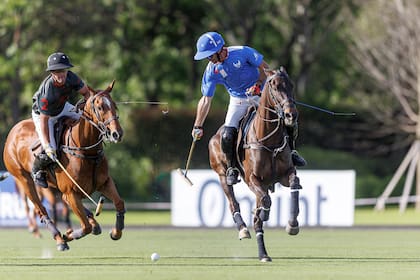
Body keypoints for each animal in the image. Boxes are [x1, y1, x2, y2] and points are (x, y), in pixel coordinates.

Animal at [3, 80, 124, 250]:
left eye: (114, 105)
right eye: (100, 107)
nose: (117, 134)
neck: (87, 151)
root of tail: (13, 131)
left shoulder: (104, 183)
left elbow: (119, 203)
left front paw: (115, 232)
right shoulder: (70, 191)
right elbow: (84, 226)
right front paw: (68, 235)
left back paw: (92, 223)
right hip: (24, 180)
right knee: (40, 208)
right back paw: (58, 238)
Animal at [208, 68, 300, 262]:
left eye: (291, 85)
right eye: (275, 87)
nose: (291, 115)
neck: (269, 140)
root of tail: (215, 135)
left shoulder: (286, 174)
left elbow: (294, 184)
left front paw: (292, 225)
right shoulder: (252, 179)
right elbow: (264, 202)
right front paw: (264, 214)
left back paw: (263, 251)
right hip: (222, 175)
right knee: (234, 203)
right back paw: (245, 231)